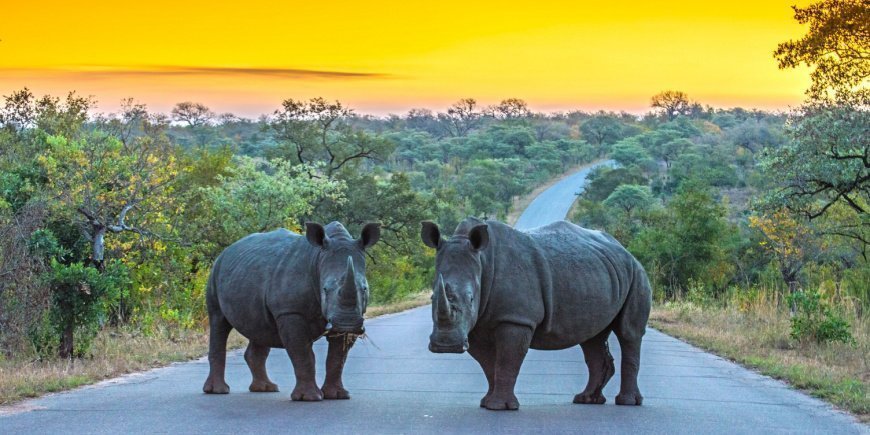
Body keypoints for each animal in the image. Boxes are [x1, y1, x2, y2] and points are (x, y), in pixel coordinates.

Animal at [206, 221, 384, 402]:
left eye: (364, 289)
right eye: (325, 289)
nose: (346, 323)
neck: (318, 260)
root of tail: (226, 250)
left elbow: (337, 358)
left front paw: (337, 395)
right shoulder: (290, 311)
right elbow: (303, 353)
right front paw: (309, 397)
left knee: (259, 328)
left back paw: (265, 388)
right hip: (215, 273)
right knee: (218, 320)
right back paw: (218, 391)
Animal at [422, 220, 656, 410]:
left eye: (471, 299)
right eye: (432, 297)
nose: (446, 346)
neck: (483, 262)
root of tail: (625, 250)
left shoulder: (517, 318)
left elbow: (507, 359)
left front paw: (500, 407)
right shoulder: (476, 325)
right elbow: (488, 363)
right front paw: (487, 403)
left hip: (637, 273)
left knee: (629, 333)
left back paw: (628, 402)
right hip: (600, 273)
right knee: (592, 338)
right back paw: (586, 399)